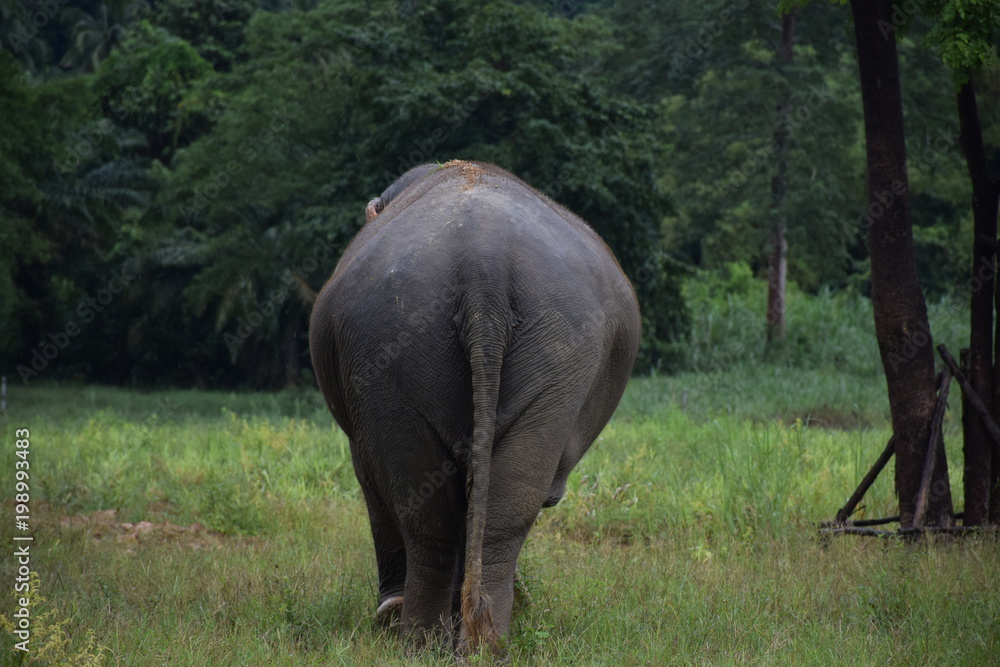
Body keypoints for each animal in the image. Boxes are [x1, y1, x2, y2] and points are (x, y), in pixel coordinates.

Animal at [309, 160, 640, 651]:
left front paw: (392, 613)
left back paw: (418, 639)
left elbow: (374, 483)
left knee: (424, 512)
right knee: (504, 504)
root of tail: (485, 265)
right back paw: (483, 641)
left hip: (390, 355)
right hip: (560, 361)